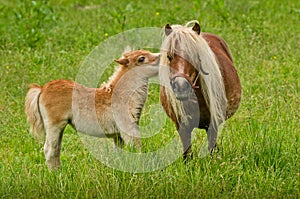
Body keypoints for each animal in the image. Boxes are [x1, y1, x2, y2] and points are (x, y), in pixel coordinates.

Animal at [159, 20, 241, 159]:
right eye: (169, 56)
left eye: (194, 56)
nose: (181, 87)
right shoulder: (182, 127)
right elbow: (187, 155)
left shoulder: (213, 126)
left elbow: (212, 150)